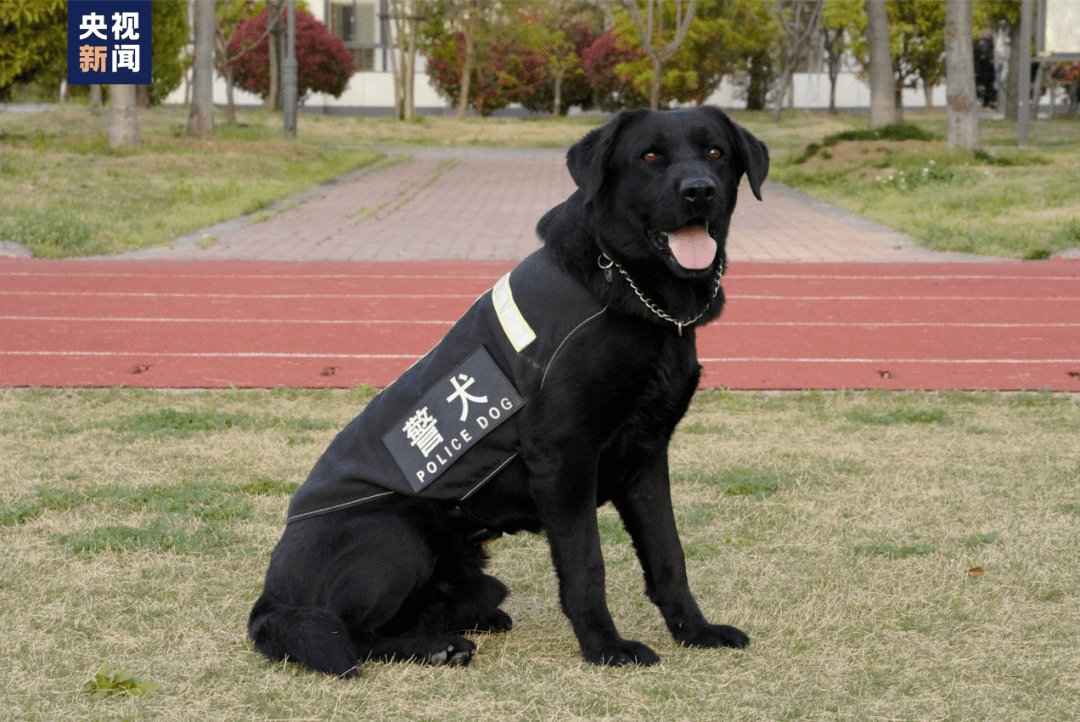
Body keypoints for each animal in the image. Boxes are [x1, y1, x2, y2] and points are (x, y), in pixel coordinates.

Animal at [247, 106, 768, 677]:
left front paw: (695, 632)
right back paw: (435, 647)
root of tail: (270, 602)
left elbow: (668, 555)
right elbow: (587, 565)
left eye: (715, 152)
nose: (699, 190)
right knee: (352, 634)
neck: (631, 290)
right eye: (650, 156)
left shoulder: (648, 456)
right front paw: (604, 647)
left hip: (478, 576)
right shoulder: (564, 457)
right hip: (399, 533)